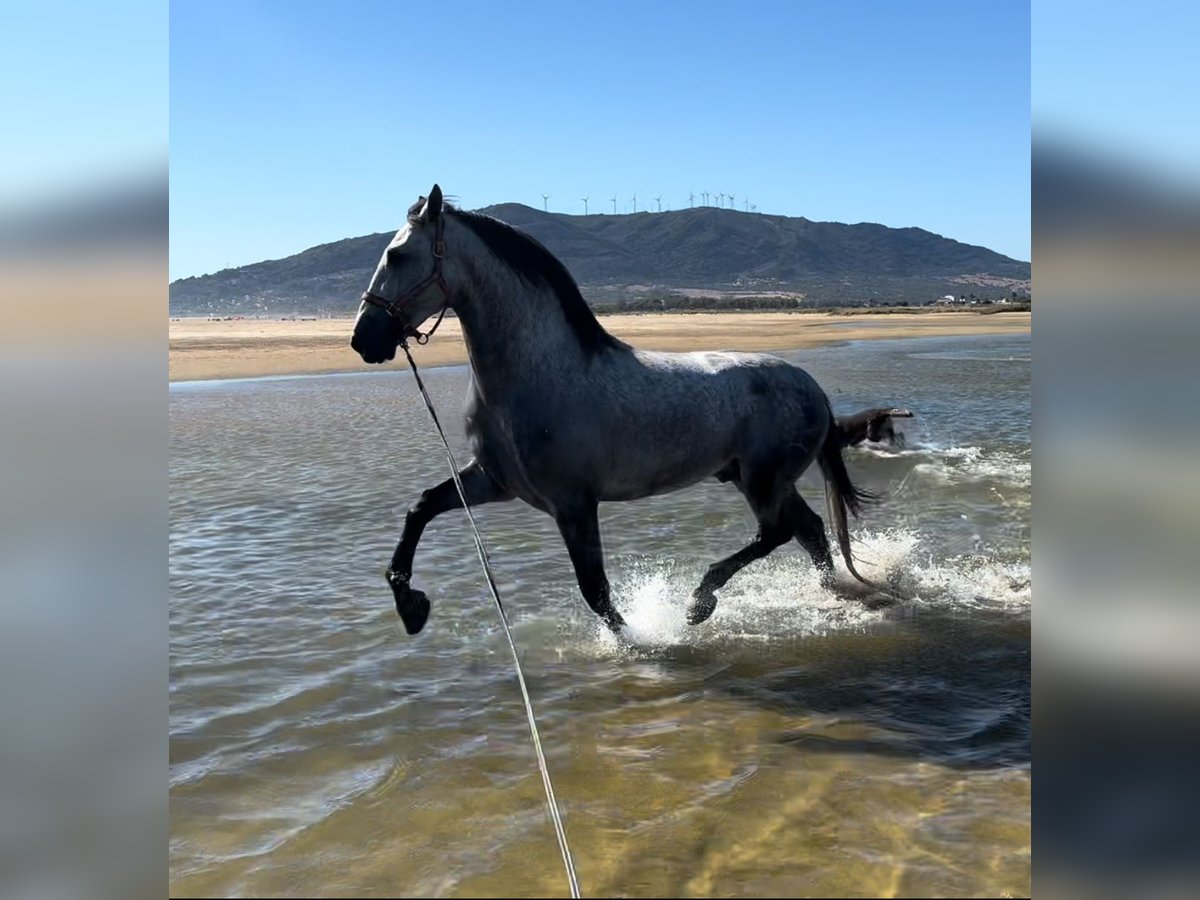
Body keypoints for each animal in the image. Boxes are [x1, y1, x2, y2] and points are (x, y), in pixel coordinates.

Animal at [348, 183, 883, 638]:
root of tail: (811, 385)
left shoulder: (574, 504)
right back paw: (828, 592)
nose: (363, 339)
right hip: (757, 478)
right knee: (809, 531)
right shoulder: (493, 482)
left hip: (762, 479)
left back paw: (699, 601)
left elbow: (596, 591)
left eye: (396, 255)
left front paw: (640, 644)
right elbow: (421, 507)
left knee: (777, 532)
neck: (538, 375)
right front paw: (411, 606)